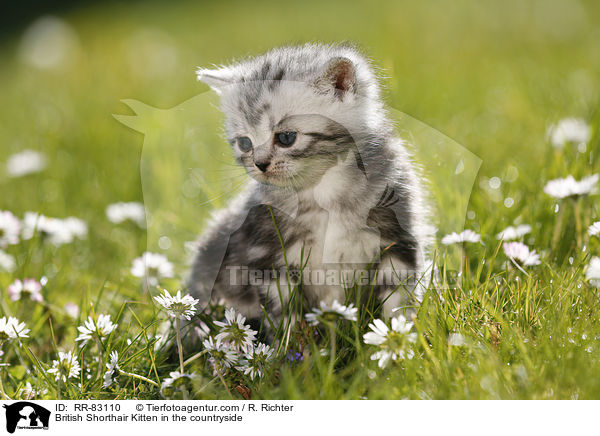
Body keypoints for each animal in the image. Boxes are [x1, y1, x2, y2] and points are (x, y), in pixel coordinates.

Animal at [191, 43, 432, 328]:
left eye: (286, 138)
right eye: (245, 143)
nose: (260, 165)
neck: (323, 191)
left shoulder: (398, 239)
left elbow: (397, 301)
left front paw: (401, 335)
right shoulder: (269, 256)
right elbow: (286, 315)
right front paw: (292, 340)